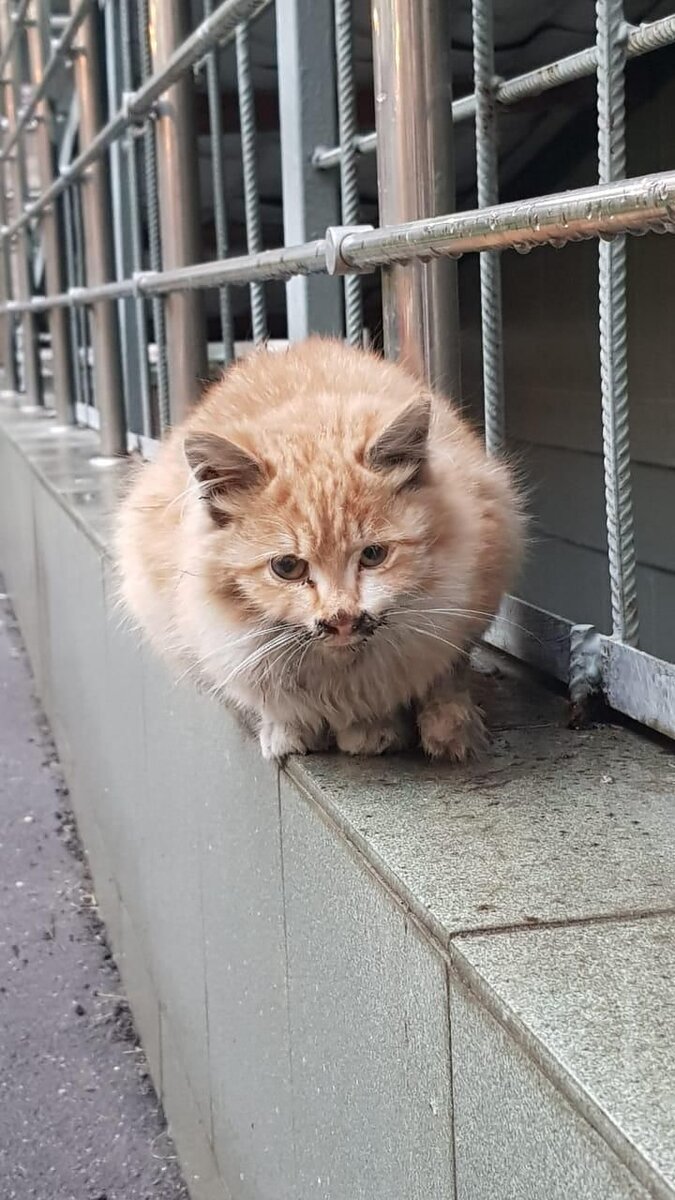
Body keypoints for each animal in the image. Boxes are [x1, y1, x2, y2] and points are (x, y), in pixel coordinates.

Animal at [115, 338, 521, 758]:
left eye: (373, 555)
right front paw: (294, 732)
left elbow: (435, 674)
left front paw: (376, 731)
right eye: (287, 567)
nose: (341, 618)